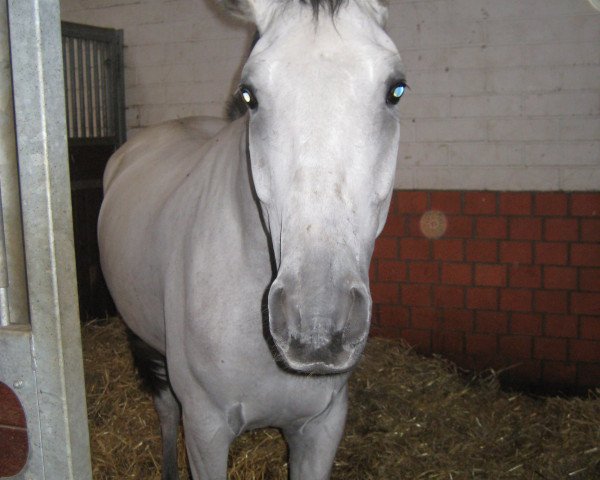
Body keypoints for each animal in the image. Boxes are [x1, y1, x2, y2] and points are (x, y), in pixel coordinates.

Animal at [98, 1, 406, 478]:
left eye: (396, 91)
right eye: (249, 95)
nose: (317, 326)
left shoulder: (321, 429)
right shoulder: (205, 432)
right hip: (144, 339)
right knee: (165, 409)